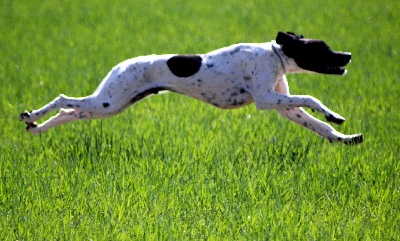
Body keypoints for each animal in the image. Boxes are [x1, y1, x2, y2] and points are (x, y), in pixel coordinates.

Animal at [19, 32, 362, 145]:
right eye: (322, 49)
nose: (348, 55)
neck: (275, 55)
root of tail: (121, 64)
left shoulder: (284, 106)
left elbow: (318, 125)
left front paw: (343, 136)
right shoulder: (267, 99)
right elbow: (312, 97)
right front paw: (332, 113)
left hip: (109, 105)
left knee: (68, 112)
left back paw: (37, 127)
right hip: (108, 102)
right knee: (63, 100)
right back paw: (30, 115)